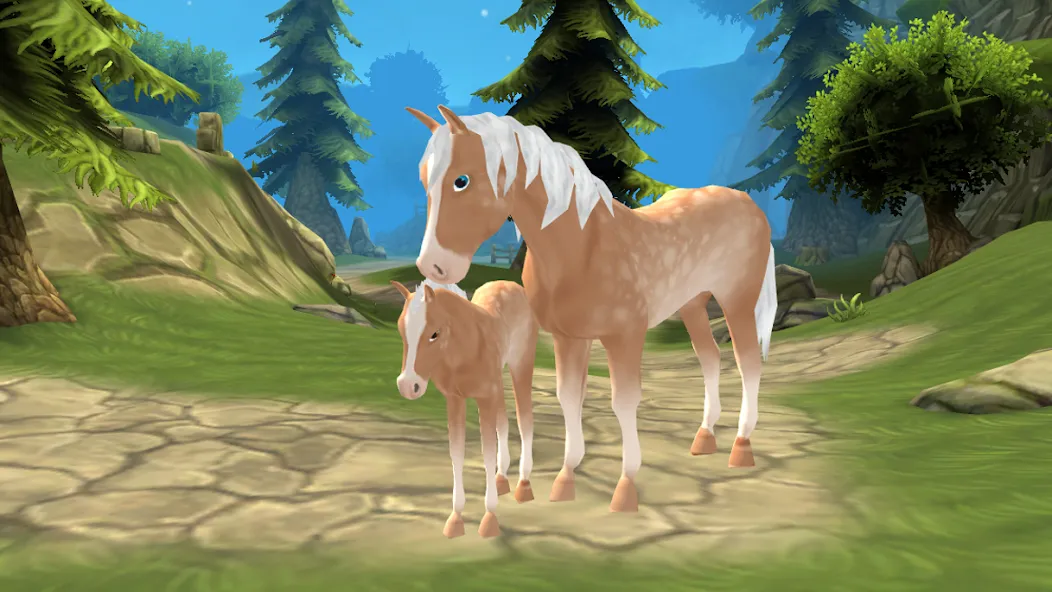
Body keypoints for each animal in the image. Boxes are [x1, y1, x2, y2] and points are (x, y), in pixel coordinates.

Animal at [393, 278, 539, 538]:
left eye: (434, 333)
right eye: (401, 331)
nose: (408, 386)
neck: (466, 349)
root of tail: (510, 284)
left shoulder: (484, 398)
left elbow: (487, 452)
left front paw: (489, 519)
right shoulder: (455, 399)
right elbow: (457, 453)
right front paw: (455, 519)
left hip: (520, 365)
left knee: (525, 420)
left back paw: (523, 486)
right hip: (497, 381)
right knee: (504, 422)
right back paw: (502, 480)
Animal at [403, 105, 778, 514]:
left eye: (461, 180)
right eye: (423, 179)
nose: (434, 266)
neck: (582, 247)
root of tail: (748, 204)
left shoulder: (624, 338)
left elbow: (624, 403)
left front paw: (625, 488)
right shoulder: (569, 338)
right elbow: (569, 399)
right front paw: (565, 479)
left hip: (737, 301)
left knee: (748, 364)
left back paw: (741, 446)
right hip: (694, 304)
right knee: (710, 360)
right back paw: (704, 437)